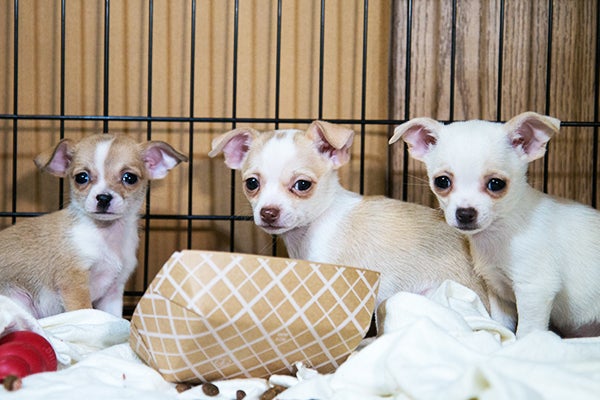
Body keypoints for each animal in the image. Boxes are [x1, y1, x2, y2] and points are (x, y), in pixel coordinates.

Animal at [0, 133, 187, 319]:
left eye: (130, 178)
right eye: (81, 177)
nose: (103, 197)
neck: (105, 233)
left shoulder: (112, 293)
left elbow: (114, 317)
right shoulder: (74, 284)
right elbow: (85, 311)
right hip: (19, 300)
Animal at [390, 111, 600, 338]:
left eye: (496, 184)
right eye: (442, 181)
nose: (465, 213)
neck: (500, 233)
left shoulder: (535, 288)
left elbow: (527, 331)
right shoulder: (498, 290)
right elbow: (502, 324)